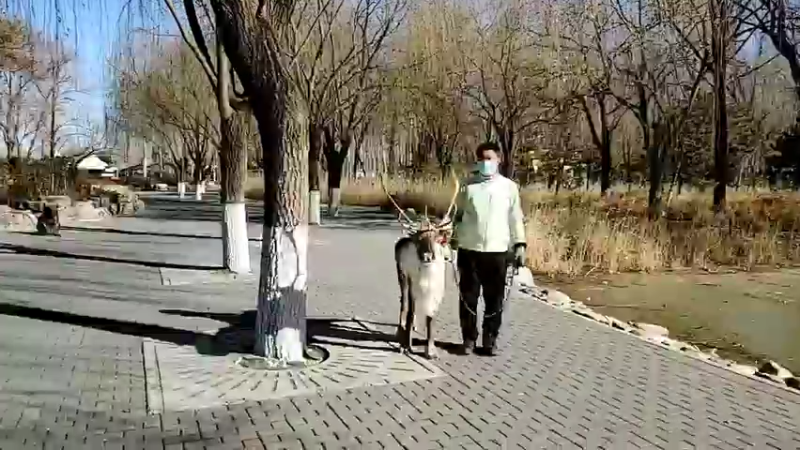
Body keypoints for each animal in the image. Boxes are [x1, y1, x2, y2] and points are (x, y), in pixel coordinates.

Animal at [380, 172, 456, 358]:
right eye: (418, 240)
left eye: (436, 238)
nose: (428, 256)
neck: (427, 275)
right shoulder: (412, 282)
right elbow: (410, 311)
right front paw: (405, 345)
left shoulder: (436, 288)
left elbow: (431, 317)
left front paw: (431, 349)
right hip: (402, 276)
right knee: (404, 303)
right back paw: (401, 331)